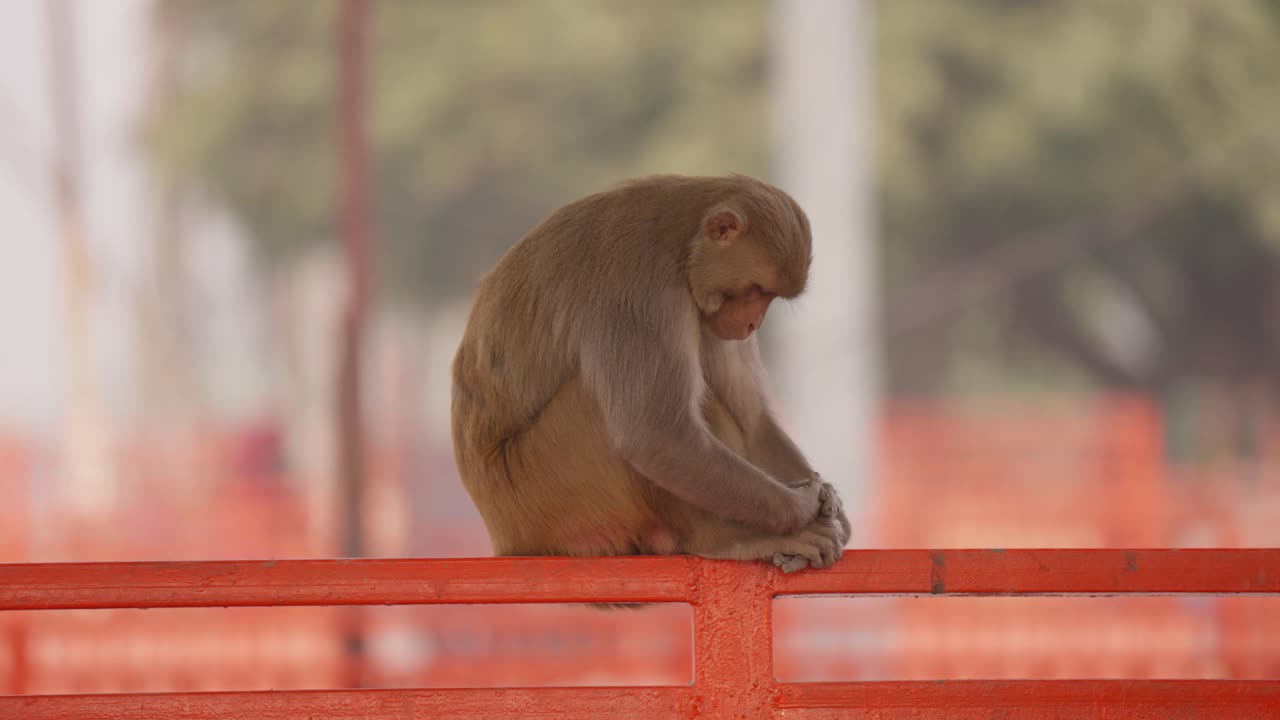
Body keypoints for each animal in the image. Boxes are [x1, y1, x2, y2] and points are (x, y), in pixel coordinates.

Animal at [451, 174, 851, 575]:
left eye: (768, 297)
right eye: (756, 290)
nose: (753, 324)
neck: (680, 244)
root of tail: (504, 536)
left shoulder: (706, 311)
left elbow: (751, 418)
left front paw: (834, 509)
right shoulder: (639, 290)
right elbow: (654, 435)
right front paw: (804, 506)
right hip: (548, 493)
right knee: (611, 410)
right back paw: (726, 538)